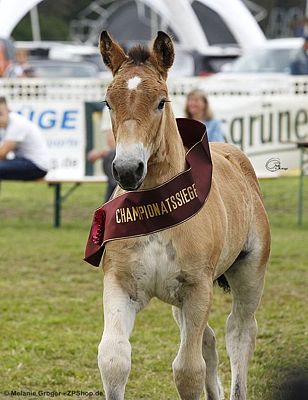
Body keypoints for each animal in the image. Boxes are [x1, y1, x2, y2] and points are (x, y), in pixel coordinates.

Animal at [96, 32, 270, 400]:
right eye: (107, 102)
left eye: (161, 101)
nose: (128, 169)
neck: (155, 208)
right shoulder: (120, 283)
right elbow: (114, 359)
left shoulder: (197, 289)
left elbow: (188, 371)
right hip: (177, 302)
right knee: (209, 339)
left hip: (250, 272)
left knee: (240, 332)